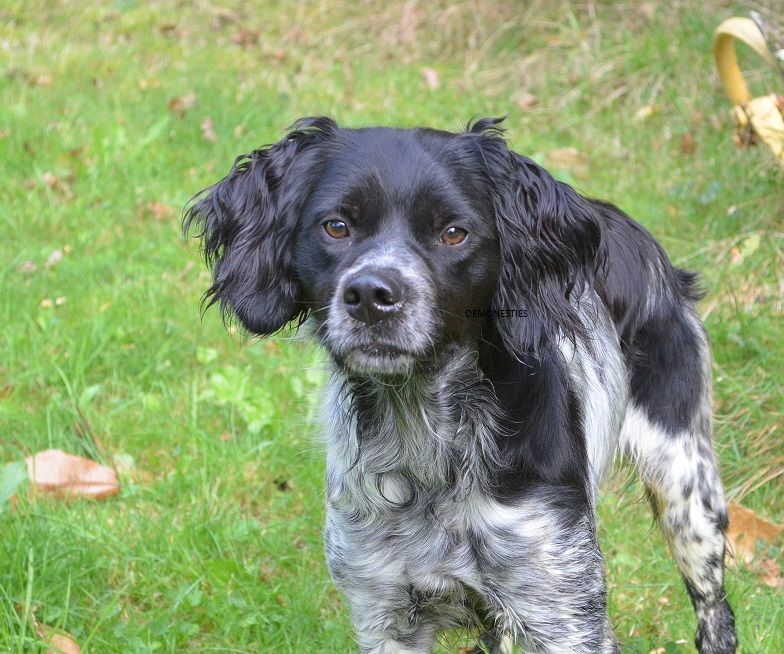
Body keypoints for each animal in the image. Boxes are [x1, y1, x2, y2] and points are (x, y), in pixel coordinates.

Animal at [187, 119, 740, 654]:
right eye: (336, 226)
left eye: (454, 232)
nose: (370, 296)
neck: (430, 450)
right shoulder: (384, 610)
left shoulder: (564, 613)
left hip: (687, 493)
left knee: (716, 613)